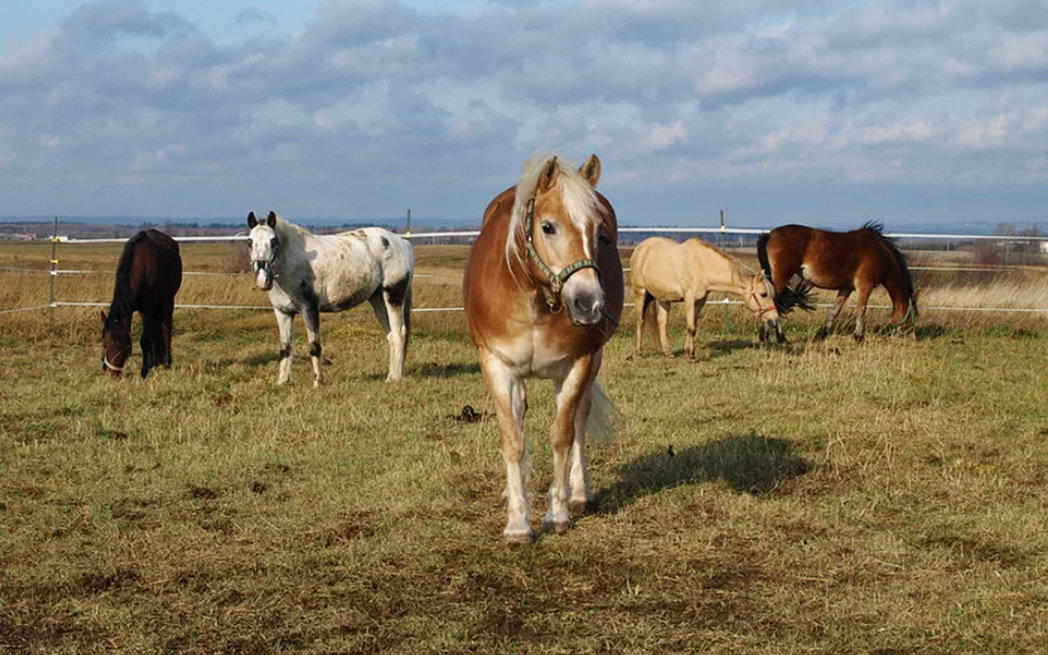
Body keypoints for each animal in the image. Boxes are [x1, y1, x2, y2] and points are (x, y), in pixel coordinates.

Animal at [100, 229, 183, 379]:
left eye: (123, 346)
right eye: (105, 343)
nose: (113, 375)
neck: (141, 266)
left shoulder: (148, 309)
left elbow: (145, 340)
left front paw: (144, 371)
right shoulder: (141, 309)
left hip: (168, 300)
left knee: (166, 327)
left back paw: (166, 362)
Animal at [246, 211, 413, 386]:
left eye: (273, 241)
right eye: (250, 242)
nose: (262, 280)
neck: (292, 263)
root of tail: (402, 242)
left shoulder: (309, 309)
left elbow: (314, 347)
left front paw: (318, 382)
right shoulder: (283, 313)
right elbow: (285, 348)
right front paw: (282, 381)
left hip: (393, 295)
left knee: (399, 334)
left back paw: (395, 379)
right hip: (378, 299)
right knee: (391, 335)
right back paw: (390, 376)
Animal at [463, 153, 624, 544]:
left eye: (600, 232)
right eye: (548, 227)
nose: (589, 303)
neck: (534, 300)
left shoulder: (577, 363)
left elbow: (563, 436)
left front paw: (558, 512)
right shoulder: (496, 364)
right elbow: (513, 439)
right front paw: (518, 523)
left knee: (580, 419)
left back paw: (579, 493)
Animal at [629, 236, 781, 358]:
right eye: (763, 294)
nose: (774, 319)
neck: (702, 266)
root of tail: (640, 248)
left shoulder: (700, 301)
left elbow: (693, 326)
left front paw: (688, 351)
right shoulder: (689, 299)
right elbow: (691, 327)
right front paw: (691, 355)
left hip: (663, 298)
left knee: (662, 322)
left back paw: (668, 352)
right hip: (640, 292)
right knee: (640, 321)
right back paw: (638, 352)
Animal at [756, 222, 918, 342]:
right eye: (911, 316)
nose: (913, 337)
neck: (880, 253)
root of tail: (770, 234)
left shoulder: (846, 288)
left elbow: (835, 311)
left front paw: (822, 335)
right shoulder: (865, 286)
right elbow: (861, 309)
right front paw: (859, 337)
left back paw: (766, 336)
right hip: (781, 277)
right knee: (774, 304)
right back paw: (779, 337)